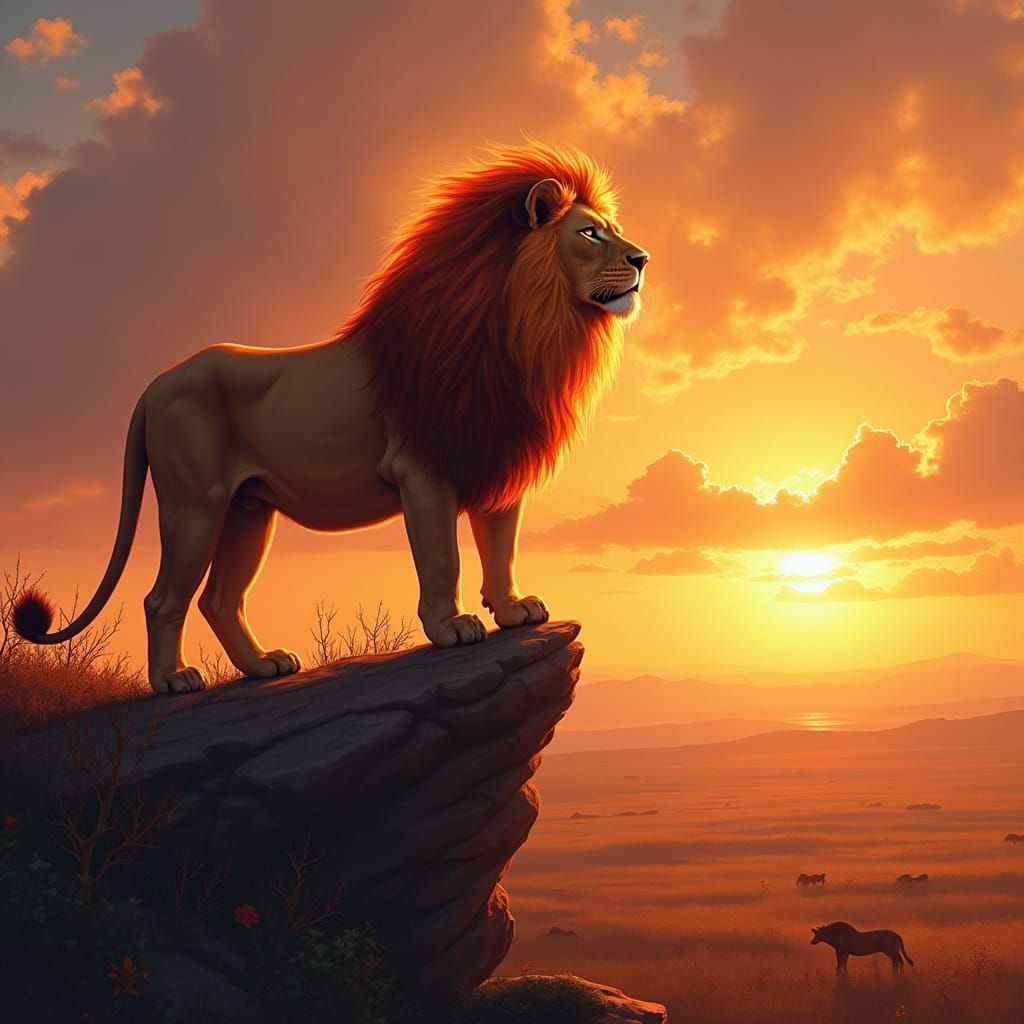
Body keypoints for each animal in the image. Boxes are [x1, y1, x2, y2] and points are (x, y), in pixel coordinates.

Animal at [14, 141, 649, 694]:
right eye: (589, 233)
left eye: (610, 227)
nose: (643, 258)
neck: (526, 331)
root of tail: (155, 383)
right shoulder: (423, 470)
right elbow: (442, 559)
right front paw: (451, 627)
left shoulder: (492, 454)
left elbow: (501, 547)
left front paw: (514, 609)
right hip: (195, 505)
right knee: (163, 598)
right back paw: (173, 680)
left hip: (248, 510)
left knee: (220, 598)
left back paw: (263, 665)